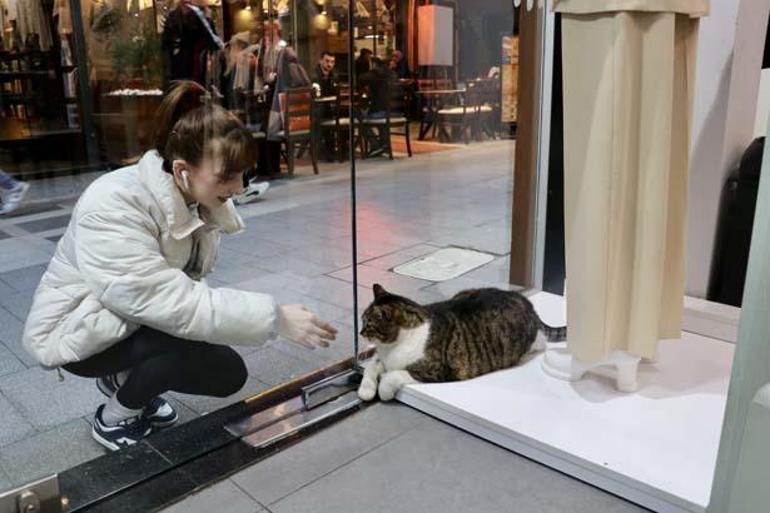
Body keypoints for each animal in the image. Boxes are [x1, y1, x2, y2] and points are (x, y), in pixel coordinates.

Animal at [356, 284, 564, 400]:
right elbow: (370, 367)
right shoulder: (381, 359)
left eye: (368, 323)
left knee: (541, 342)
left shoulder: (435, 371)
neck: (390, 349)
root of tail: (527, 303)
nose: (360, 332)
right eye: (362, 320)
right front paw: (366, 390)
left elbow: (393, 375)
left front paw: (383, 391)